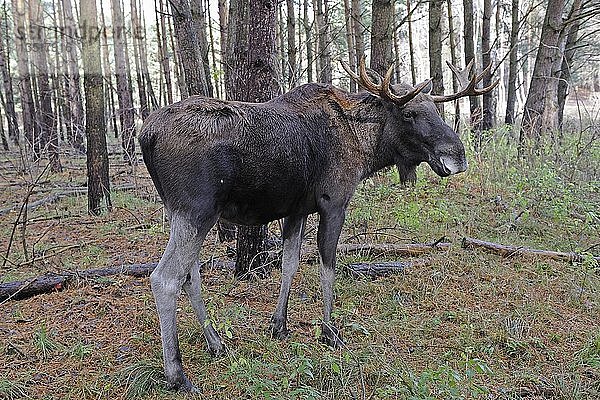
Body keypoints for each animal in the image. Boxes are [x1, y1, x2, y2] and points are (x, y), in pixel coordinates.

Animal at [141, 59, 496, 390]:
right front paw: (330, 332)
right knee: (165, 278)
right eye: (408, 113)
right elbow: (327, 267)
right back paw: (177, 374)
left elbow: (290, 264)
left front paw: (279, 325)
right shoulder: (334, 203)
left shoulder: (296, 210)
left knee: (191, 277)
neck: (366, 146)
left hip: (186, 215)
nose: (457, 156)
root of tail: (146, 135)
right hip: (196, 211)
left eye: (436, 109)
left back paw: (215, 342)